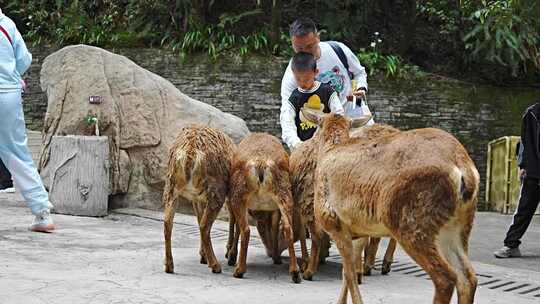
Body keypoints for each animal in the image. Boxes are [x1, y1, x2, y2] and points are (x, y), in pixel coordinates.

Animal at [162, 124, 234, 274]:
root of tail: (190, 153)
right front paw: (229, 254)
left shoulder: (196, 198)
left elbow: (199, 217)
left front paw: (203, 255)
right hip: (216, 190)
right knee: (204, 225)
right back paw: (215, 265)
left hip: (171, 186)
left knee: (167, 222)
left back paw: (169, 265)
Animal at [227, 132, 302, 284]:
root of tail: (261, 163)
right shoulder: (274, 209)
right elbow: (274, 226)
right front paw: (276, 257)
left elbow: (236, 226)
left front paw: (231, 256)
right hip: (284, 194)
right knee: (288, 228)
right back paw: (295, 273)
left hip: (238, 194)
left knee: (246, 230)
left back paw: (239, 270)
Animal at [306, 111, 478, 304]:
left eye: (317, 126)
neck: (330, 150)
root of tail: (464, 170)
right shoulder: (358, 231)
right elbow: (347, 273)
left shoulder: (334, 223)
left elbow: (350, 274)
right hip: (456, 226)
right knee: (468, 277)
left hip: (411, 223)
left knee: (446, 278)